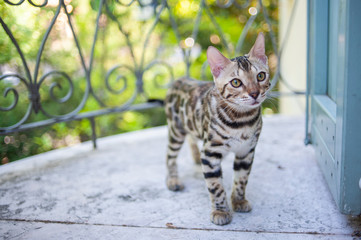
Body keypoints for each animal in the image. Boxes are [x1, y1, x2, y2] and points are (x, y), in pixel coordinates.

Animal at [165, 32, 268, 226]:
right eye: (236, 82)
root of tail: (179, 79)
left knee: (191, 138)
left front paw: (239, 201)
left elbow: (241, 179)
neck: (241, 122)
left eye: (260, 76)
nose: (254, 93)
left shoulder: (246, 151)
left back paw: (195, 157)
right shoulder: (210, 153)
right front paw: (220, 211)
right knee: (170, 157)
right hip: (176, 130)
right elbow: (215, 186)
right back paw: (173, 179)